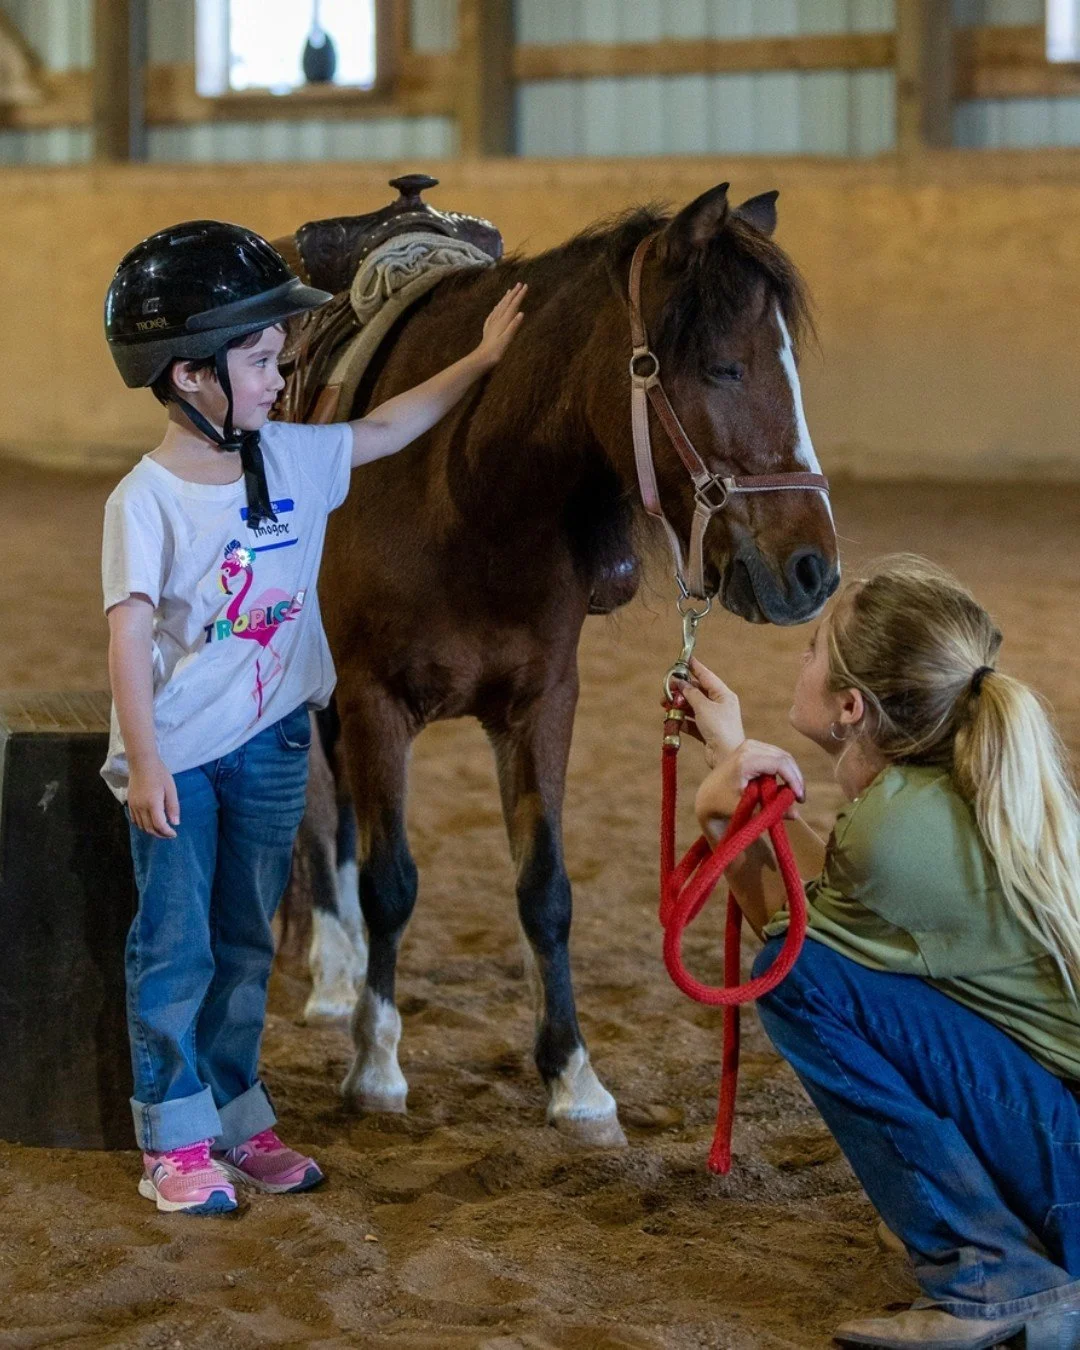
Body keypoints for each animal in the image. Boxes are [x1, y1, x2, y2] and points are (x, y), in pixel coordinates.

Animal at [298, 182, 839, 1146]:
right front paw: (377, 1065)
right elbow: (393, 881)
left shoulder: (543, 702)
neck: (464, 487)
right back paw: (332, 970)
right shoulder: (374, 699)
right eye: (724, 368)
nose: (816, 570)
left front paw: (573, 1076)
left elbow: (545, 888)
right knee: (323, 817)